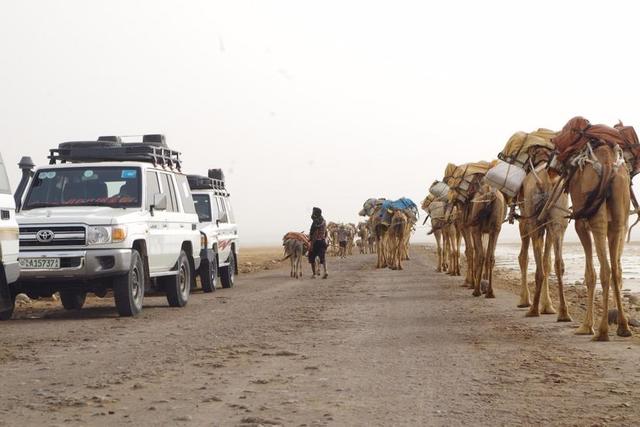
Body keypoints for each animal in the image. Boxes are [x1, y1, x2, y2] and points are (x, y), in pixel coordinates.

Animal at [512, 146, 572, 320]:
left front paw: (524, 301)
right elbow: (548, 262)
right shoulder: (550, 224)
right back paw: (563, 313)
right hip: (558, 216)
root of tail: (546, 180)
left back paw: (533, 309)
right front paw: (548, 307)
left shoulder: (524, 222)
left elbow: (524, 258)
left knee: (537, 266)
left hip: (533, 220)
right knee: (558, 263)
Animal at [552, 117, 632, 342]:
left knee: (605, 269)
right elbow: (614, 270)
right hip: (619, 210)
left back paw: (602, 331)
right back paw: (623, 327)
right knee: (615, 270)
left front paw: (587, 326)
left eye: (566, 131)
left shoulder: (580, 223)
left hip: (596, 217)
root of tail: (608, 164)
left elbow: (590, 274)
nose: (553, 141)